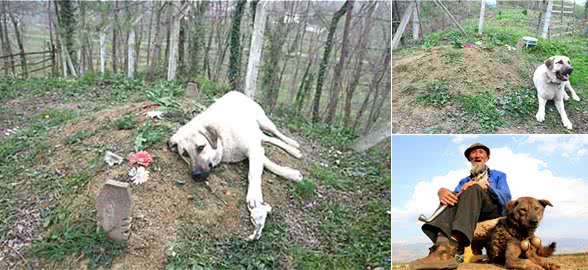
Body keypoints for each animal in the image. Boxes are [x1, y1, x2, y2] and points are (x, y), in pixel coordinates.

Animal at [167, 91, 300, 240]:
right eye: (185, 154)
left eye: (201, 147)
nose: (196, 175)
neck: (222, 140)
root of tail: (235, 92)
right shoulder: (254, 149)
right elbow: (268, 163)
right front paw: (290, 173)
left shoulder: (253, 149)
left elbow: (253, 174)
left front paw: (254, 196)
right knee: (268, 138)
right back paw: (294, 151)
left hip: (264, 122)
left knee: (276, 133)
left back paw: (292, 145)